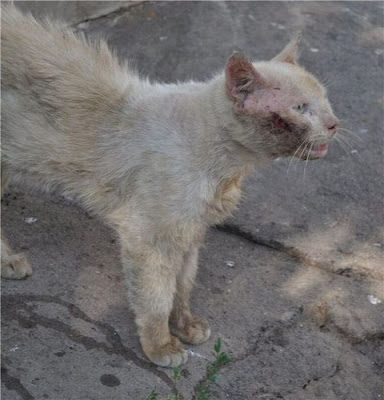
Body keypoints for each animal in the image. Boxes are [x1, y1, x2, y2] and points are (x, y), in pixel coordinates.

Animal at [0, 6, 340, 368]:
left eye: (325, 100)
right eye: (301, 108)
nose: (335, 124)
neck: (226, 171)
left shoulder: (190, 233)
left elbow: (183, 286)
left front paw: (185, 326)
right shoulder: (149, 238)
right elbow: (156, 297)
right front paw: (160, 345)